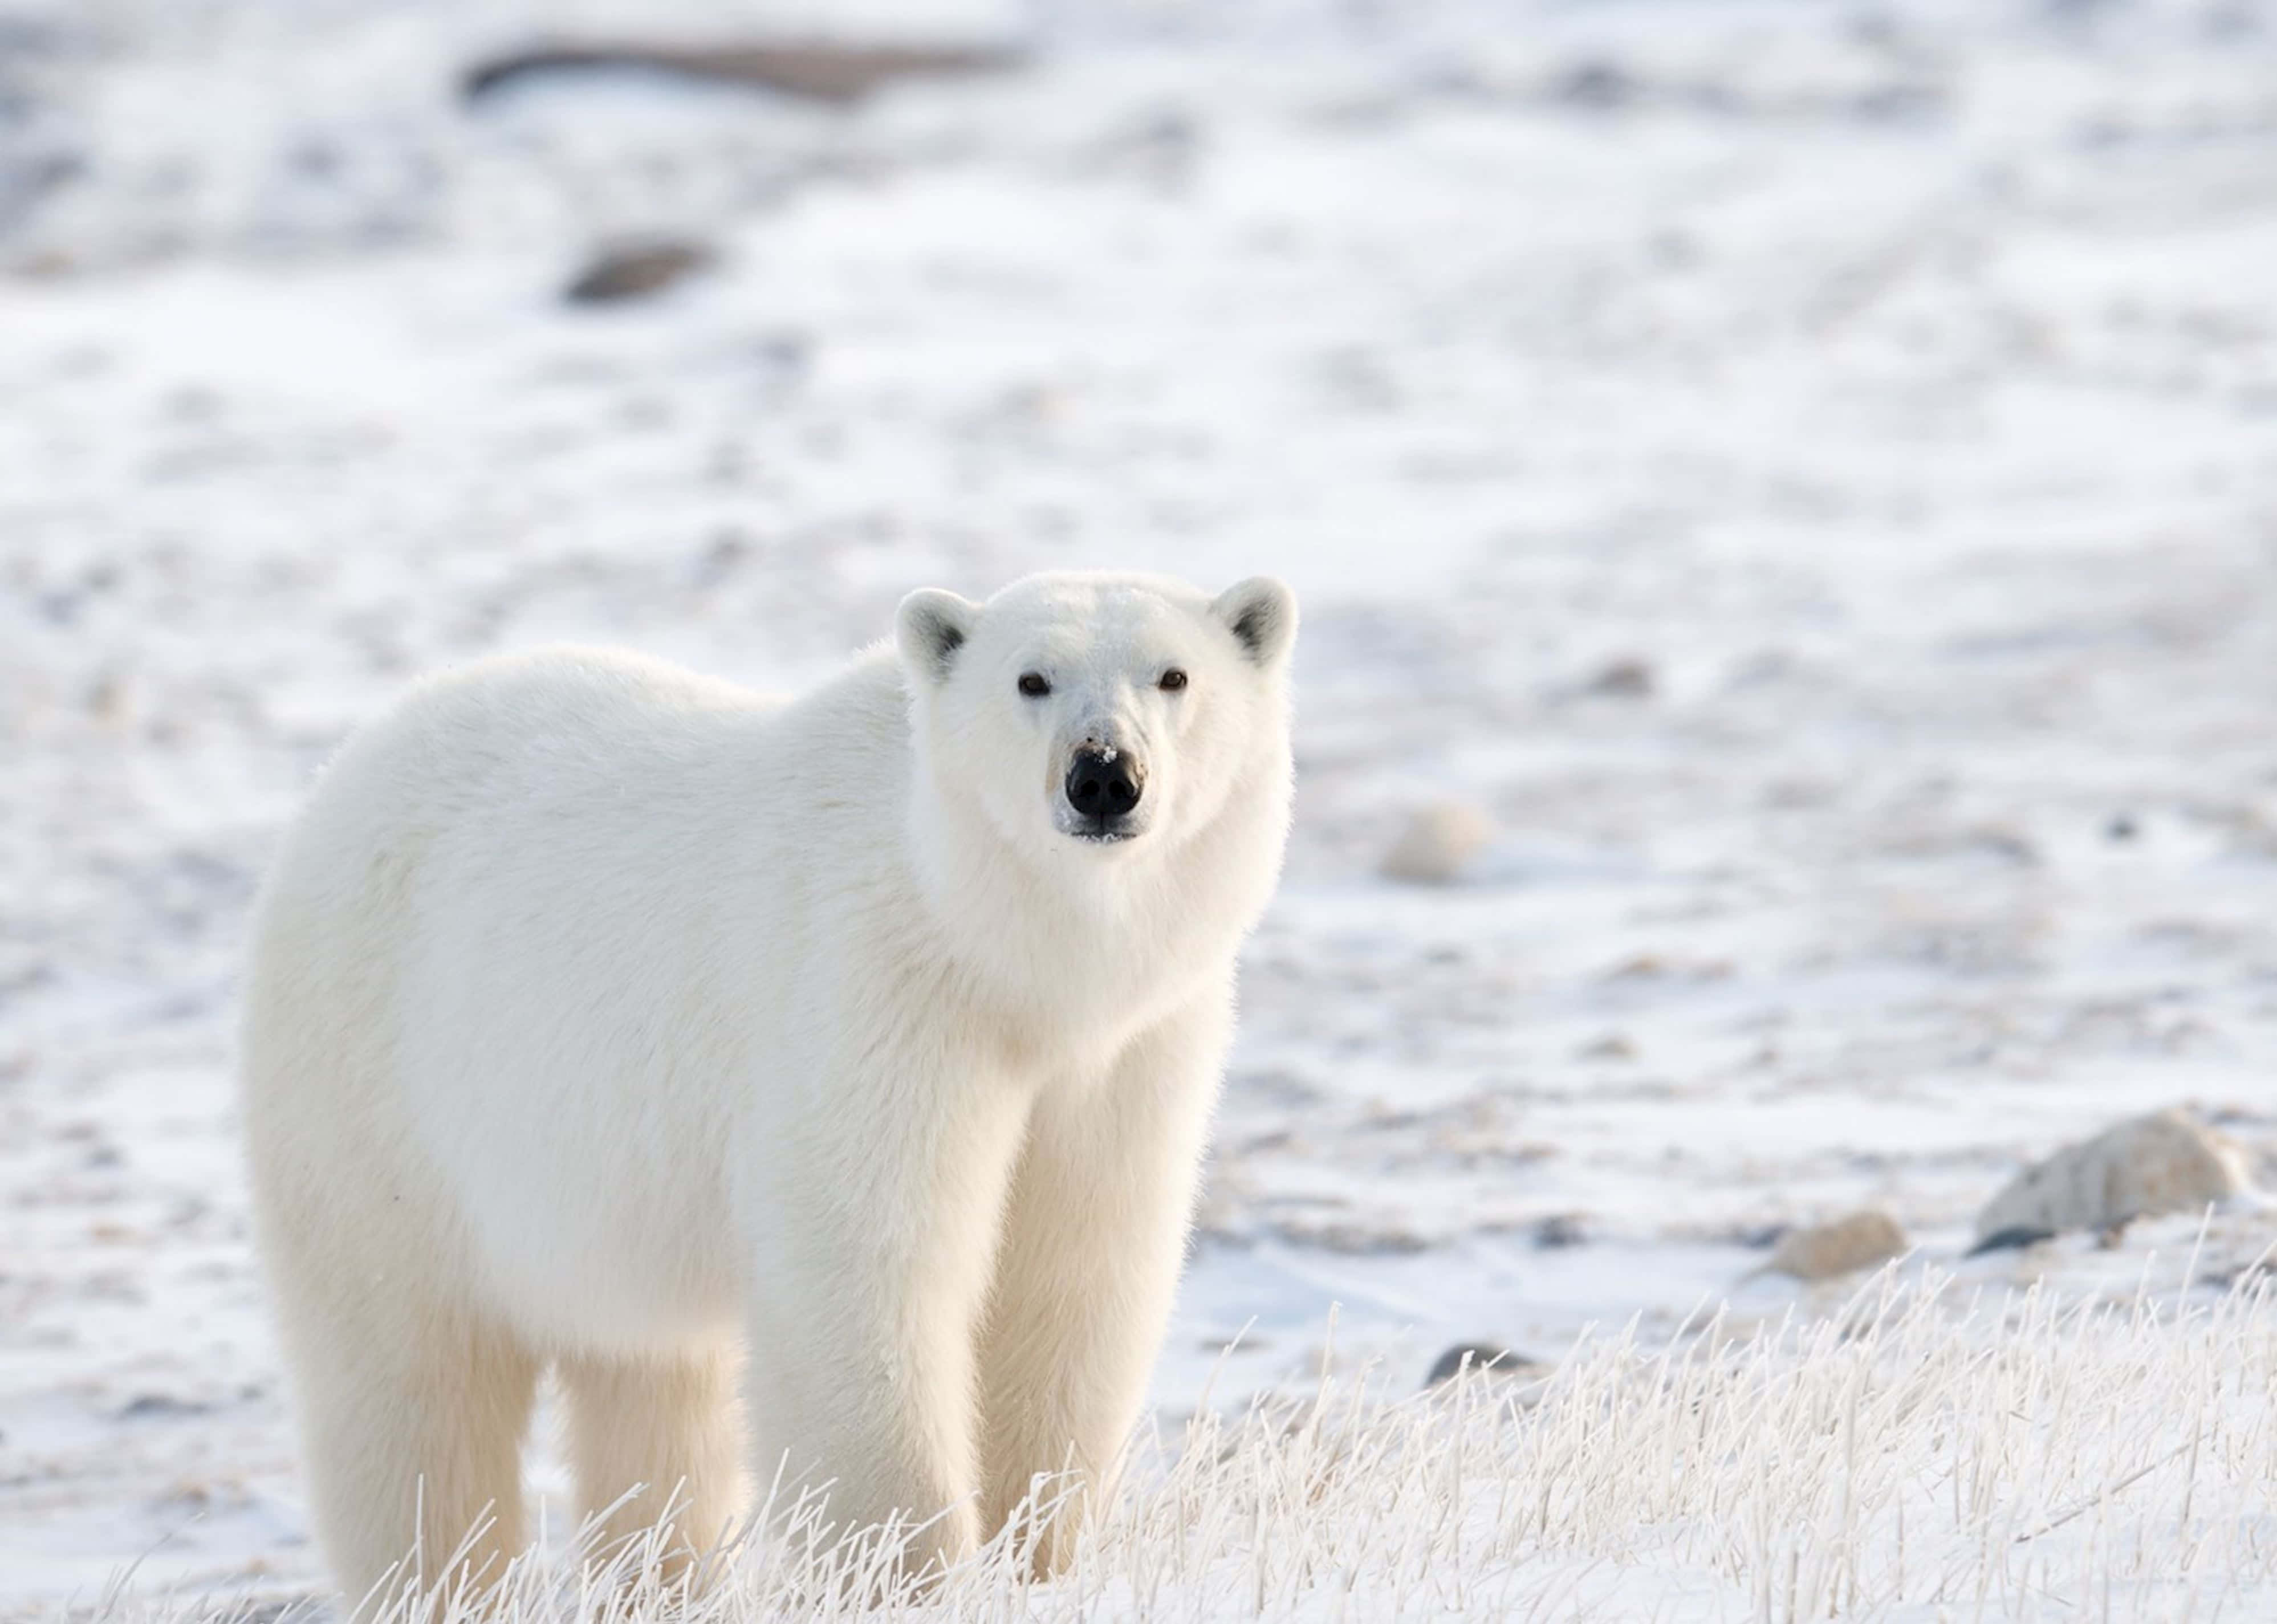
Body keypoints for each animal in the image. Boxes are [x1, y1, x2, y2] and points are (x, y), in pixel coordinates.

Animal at [237, 570, 1298, 1599]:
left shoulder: (1124, 1051)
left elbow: (1072, 1273)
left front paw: (1039, 1554)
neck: (1001, 956)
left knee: (652, 1393)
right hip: (376, 1100)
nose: (1104, 775)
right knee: (411, 1388)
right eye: (1030, 678)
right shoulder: (872, 997)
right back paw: (440, 1577)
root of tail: (350, 763)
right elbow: (868, 1272)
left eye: (1173, 675)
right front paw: (910, 1571)